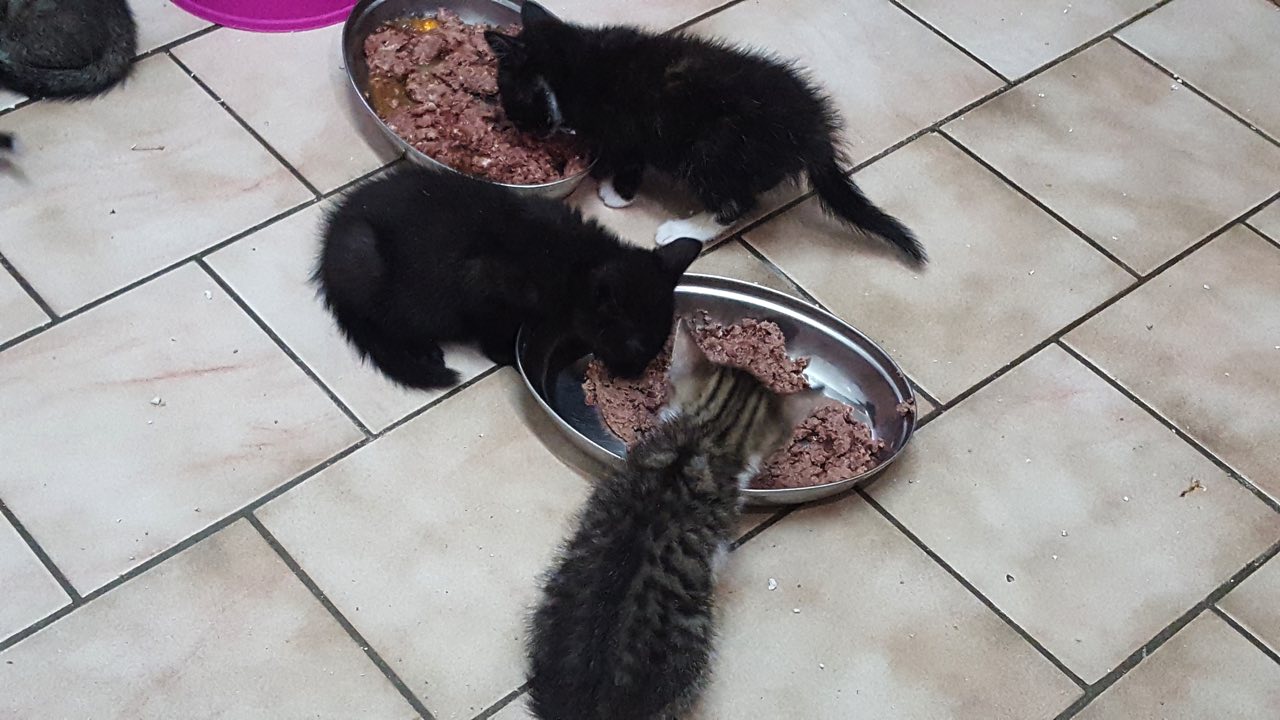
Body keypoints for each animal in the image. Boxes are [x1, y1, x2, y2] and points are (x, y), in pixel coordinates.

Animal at [314, 166, 702, 389]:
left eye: (662, 343)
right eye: (635, 348)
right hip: (365, 257)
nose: (635, 374)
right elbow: (494, 329)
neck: (575, 261)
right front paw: (506, 356)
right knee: (380, 320)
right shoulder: (483, 282)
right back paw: (421, 349)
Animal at [485, 1, 925, 264]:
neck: (577, 65)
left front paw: (616, 193)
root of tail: (813, 132)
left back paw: (683, 229)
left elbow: (629, 160)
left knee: (738, 202)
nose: (522, 127)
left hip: (714, 148)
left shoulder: (632, 126)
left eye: (512, 97)